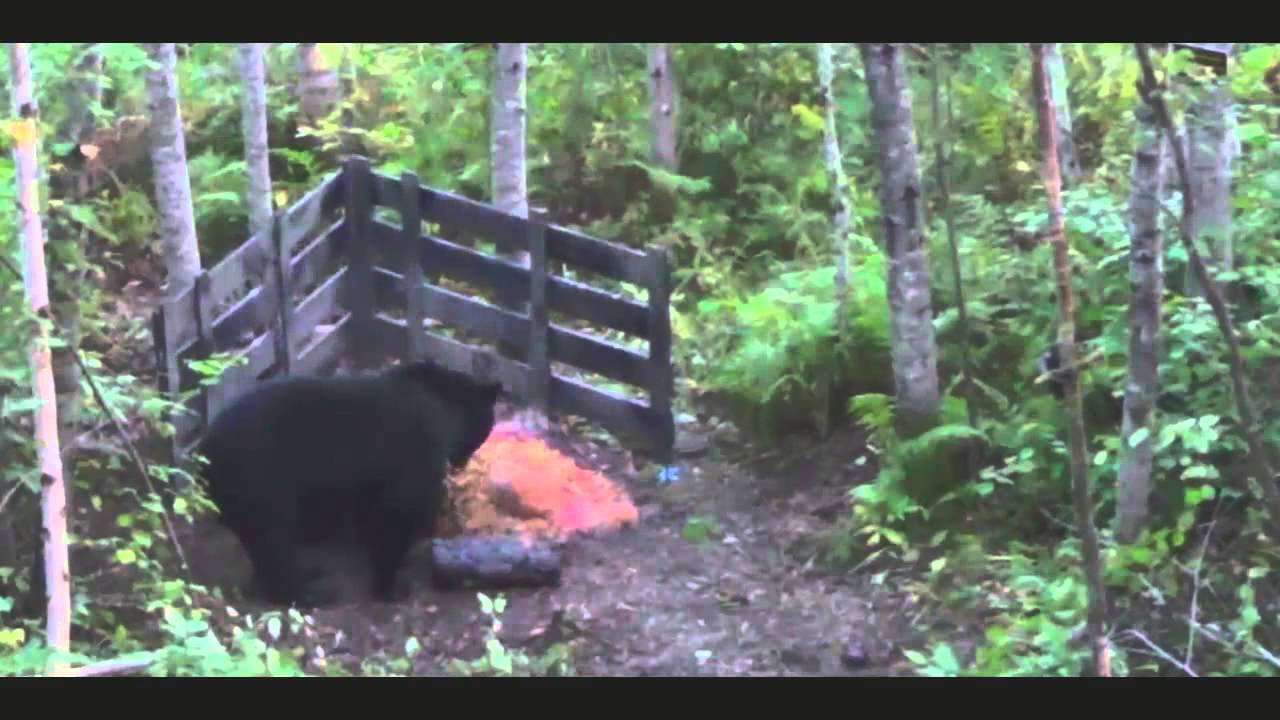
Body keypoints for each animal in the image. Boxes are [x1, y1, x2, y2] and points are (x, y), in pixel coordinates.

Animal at [195, 358, 503, 607]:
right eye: (485, 430)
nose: (461, 463)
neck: (442, 406)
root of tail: (204, 453)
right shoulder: (415, 457)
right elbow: (397, 516)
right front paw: (390, 586)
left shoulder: (372, 479)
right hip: (261, 483)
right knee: (273, 542)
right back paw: (311, 592)